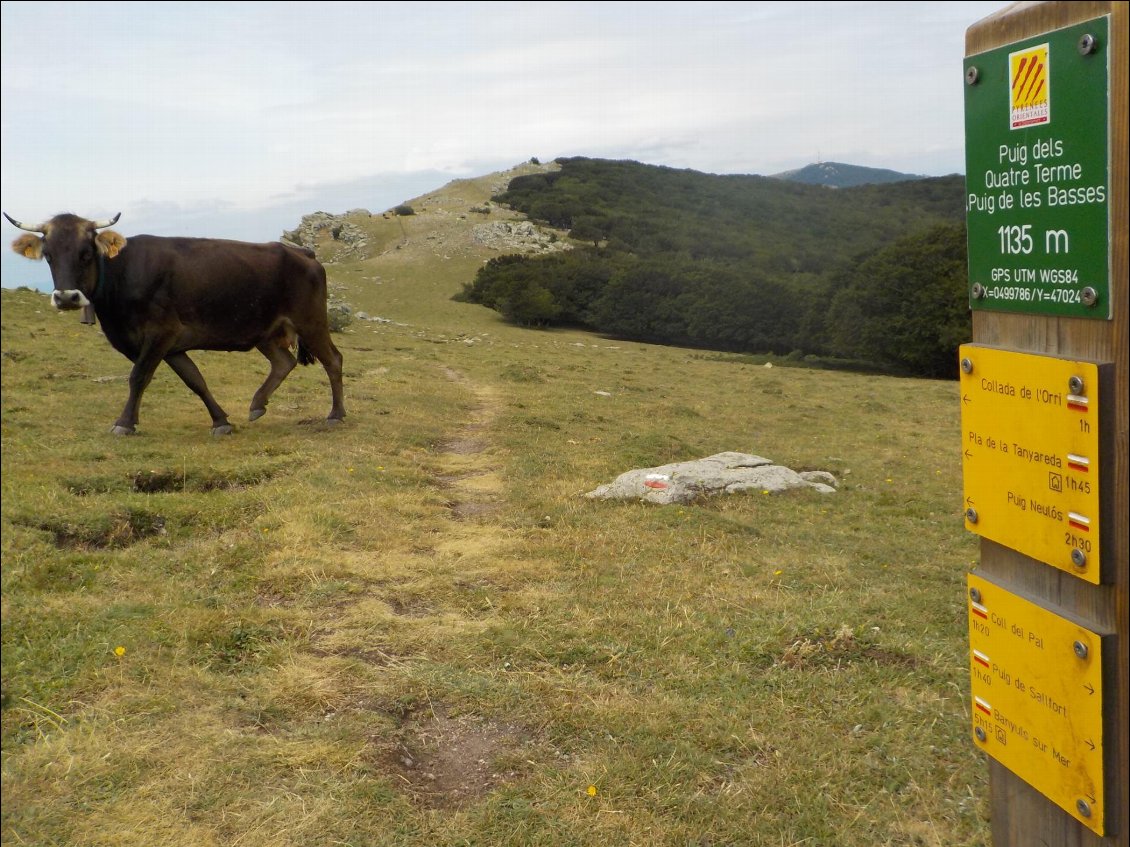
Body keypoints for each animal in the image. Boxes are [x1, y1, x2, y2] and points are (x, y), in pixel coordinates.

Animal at [5, 212, 343, 438]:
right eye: (48, 256)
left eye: (86, 253)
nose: (66, 297)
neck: (121, 274)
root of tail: (303, 251)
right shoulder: (170, 344)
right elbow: (194, 380)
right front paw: (221, 421)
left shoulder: (161, 333)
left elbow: (138, 377)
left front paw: (124, 423)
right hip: (266, 332)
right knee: (284, 362)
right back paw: (258, 404)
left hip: (310, 321)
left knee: (333, 360)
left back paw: (336, 414)